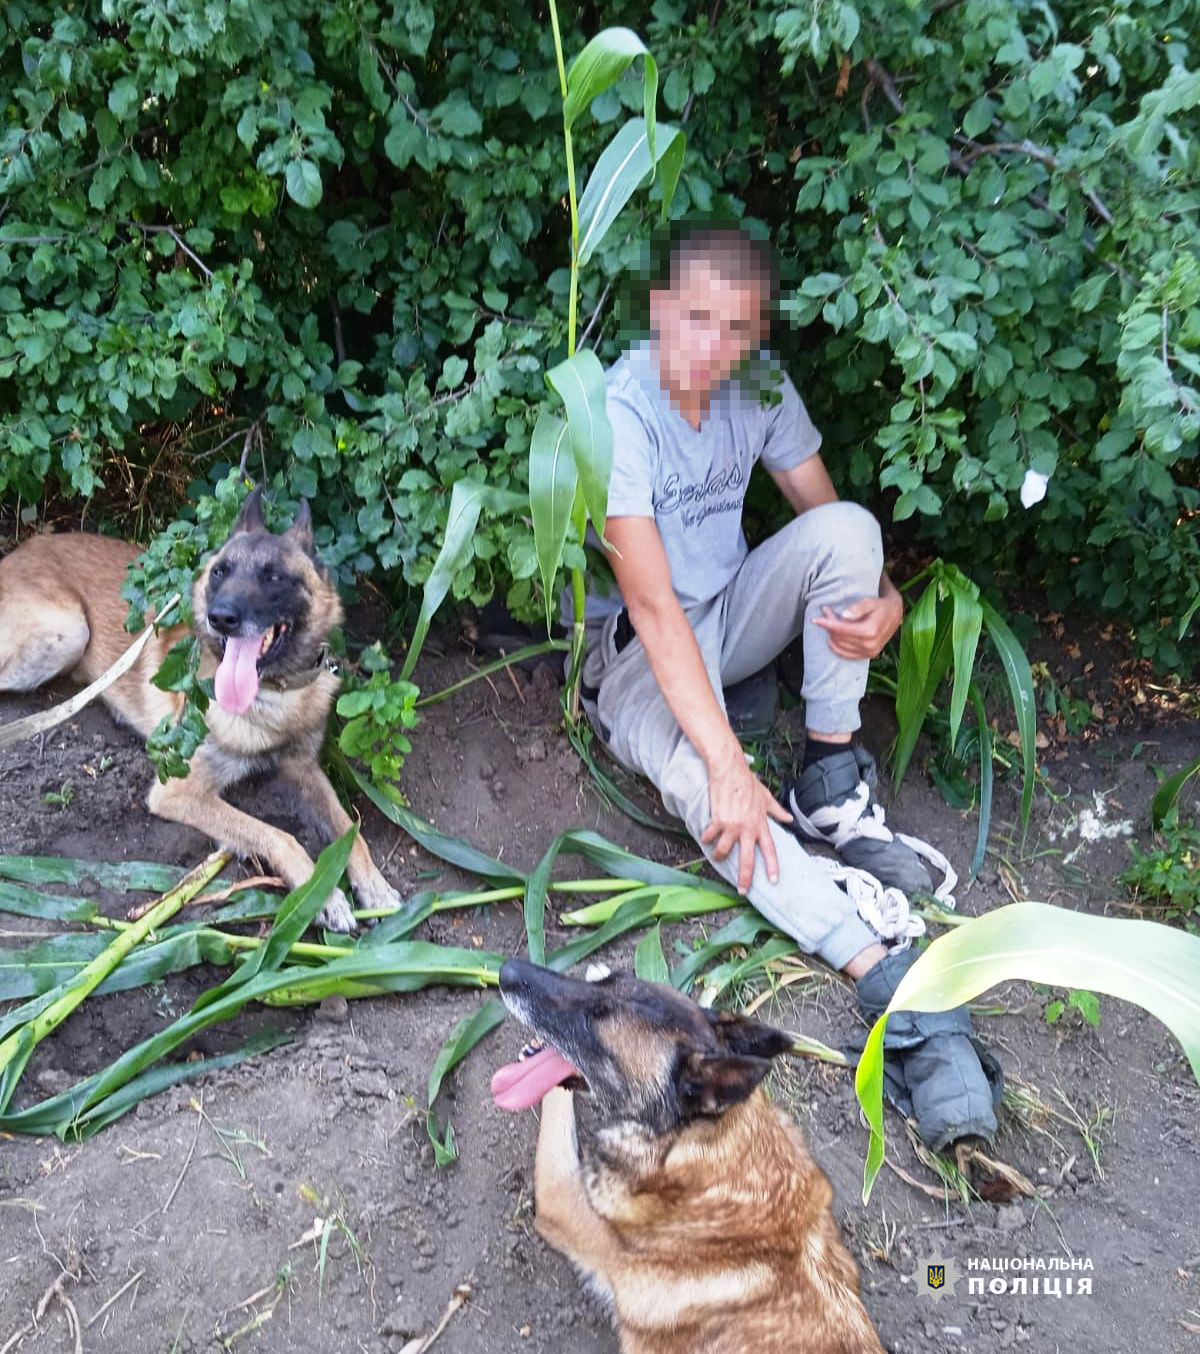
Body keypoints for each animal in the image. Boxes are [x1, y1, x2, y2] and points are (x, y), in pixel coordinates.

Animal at [0, 492, 400, 936]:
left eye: (274, 577)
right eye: (220, 572)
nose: (221, 617)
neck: (273, 695)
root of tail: (20, 551)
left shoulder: (303, 767)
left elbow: (349, 829)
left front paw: (375, 885)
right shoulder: (178, 792)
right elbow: (280, 836)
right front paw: (321, 895)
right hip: (68, 633)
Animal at [493, 958, 888, 1354]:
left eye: (594, 1020)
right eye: (604, 983)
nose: (506, 970)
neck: (690, 1142)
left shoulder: (561, 1199)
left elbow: (552, 1102)